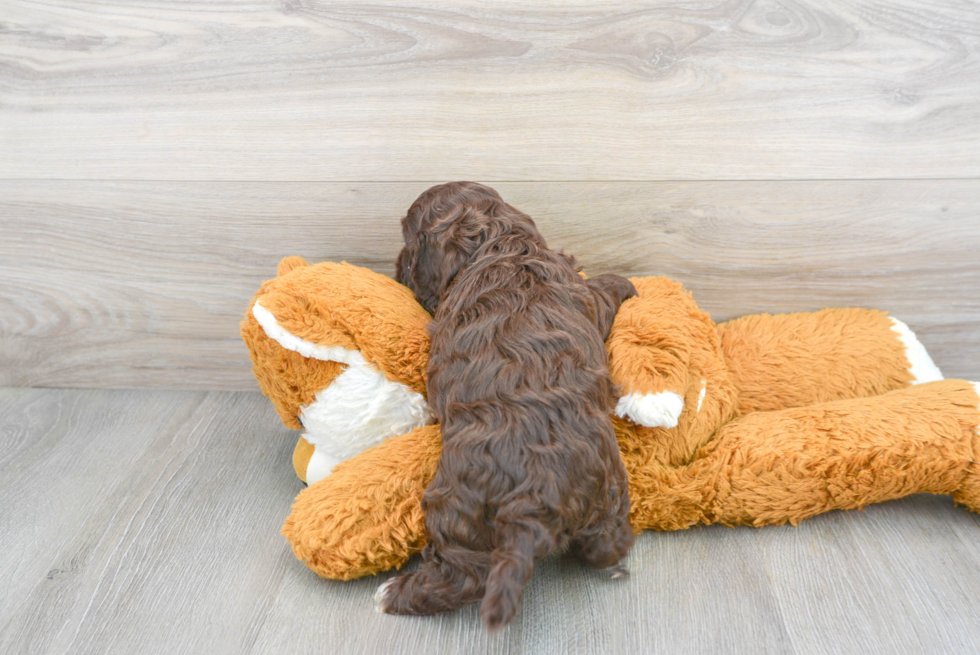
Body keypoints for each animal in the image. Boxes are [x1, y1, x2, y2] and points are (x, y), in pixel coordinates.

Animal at [376, 183, 636, 632]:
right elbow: (602, 291)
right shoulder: (582, 293)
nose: (395, 266)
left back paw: (394, 594)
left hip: (455, 507)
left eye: (409, 240)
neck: (501, 243)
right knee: (608, 544)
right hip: (609, 490)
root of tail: (537, 496)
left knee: (463, 575)